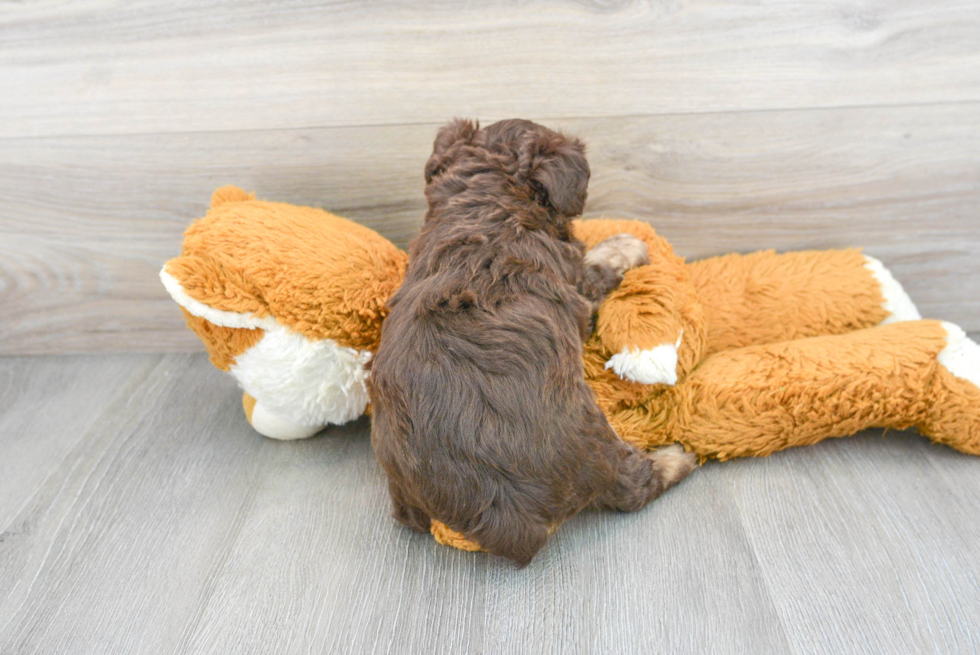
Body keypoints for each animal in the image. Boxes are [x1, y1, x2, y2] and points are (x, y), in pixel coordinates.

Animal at [368, 120, 696, 568]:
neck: (483, 207)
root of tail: (504, 519)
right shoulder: (579, 286)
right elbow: (599, 263)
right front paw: (627, 244)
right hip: (595, 442)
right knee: (633, 489)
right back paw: (677, 458)